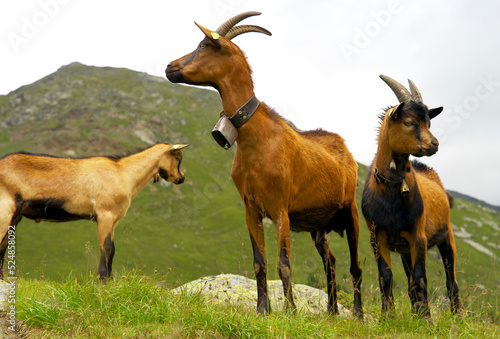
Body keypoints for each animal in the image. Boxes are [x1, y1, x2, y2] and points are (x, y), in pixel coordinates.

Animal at [167, 11, 364, 318]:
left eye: (203, 45)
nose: (169, 67)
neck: (255, 140)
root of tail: (344, 146)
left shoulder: (281, 208)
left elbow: (284, 264)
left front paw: (291, 311)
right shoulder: (251, 208)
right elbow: (260, 262)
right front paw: (262, 309)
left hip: (350, 211)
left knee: (356, 266)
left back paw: (358, 313)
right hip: (318, 226)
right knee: (330, 261)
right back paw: (331, 312)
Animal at [362, 75, 458, 322]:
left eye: (428, 123)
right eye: (407, 121)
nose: (434, 144)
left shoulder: (418, 236)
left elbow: (420, 277)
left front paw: (426, 319)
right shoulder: (378, 237)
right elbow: (385, 277)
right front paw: (387, 316)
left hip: (447, 237)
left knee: (451, 282)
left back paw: (457, 317)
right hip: (405, 249)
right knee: (409, 280)